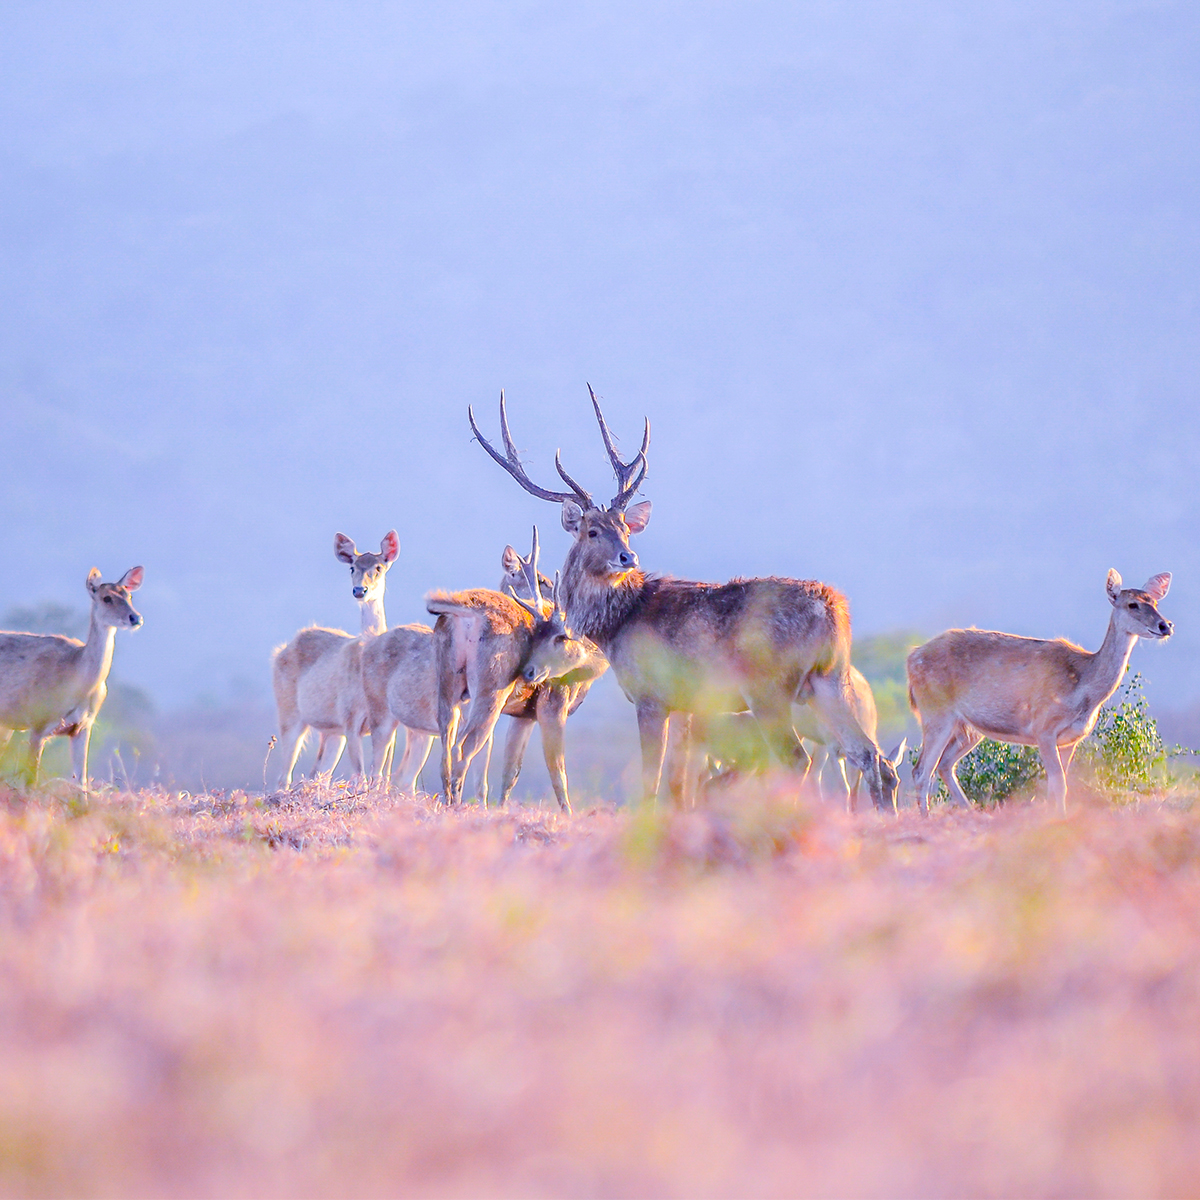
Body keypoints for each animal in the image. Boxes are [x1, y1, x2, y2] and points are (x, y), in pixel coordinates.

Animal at [0, 566, 142, 792]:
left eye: (129, 596)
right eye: (107, 598)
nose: (135, 618)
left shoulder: (83, 726)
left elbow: (81, 782)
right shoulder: (38, 722)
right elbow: (31, 783)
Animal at [272, 530, 398, 792]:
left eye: (379, 567)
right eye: (352, 567)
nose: (360, 590)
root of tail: (280, 652)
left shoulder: (387, 722)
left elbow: (383, 776)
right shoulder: (350, 718)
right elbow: (361, 775)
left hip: (331, 733)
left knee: (317, 772)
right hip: (289, 713)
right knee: (285, 775)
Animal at [424, 530, 609, 811]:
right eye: (558, 637)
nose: (530, 672)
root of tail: (464, 612)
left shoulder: (523, 715)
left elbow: (510, 770)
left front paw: (498, 808)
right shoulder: (552, 704)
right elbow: (558, 771)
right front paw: (568, 814)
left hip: (448, 684)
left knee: (447, 748)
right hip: (492, 687)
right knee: (462, 748)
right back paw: (456, 804)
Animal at [468, 388, 902, 811]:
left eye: (625, 527)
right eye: (593, 530)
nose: (628, 557)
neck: (616, 625)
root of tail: (834, 609)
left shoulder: (651, 695)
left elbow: (652, 780)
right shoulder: (686, 705)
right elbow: (678, 785)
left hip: (770, 688)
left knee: (800, 760)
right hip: (829, 681)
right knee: (874, 759)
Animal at [907, 568, 1171, 816]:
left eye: (1155, 603)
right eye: (1132, 604)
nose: (1165, 625)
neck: (1083, 687)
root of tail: (912, 658)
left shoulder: (1071, 738)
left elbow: (1056, 785)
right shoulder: (1043, 727)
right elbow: (1059, 784)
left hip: (968, 728)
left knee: (944, 764)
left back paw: (970, 811)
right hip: (936, 713)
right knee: (921, 770)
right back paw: (926, 819)